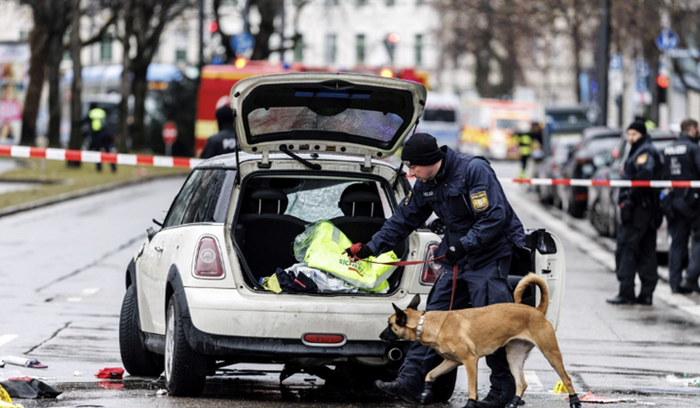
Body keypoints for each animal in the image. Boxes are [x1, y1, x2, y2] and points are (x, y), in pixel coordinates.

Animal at [380, 272, 584, 408]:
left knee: (566, 379)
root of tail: (536, 310)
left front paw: (471, 403)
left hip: (551, 353)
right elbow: (430, 374)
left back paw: (575, 401)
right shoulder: (451, 362)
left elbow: (472, 388)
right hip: (514, 357)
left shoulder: (470, 361)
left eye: (390, 325)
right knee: (522, 383)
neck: (427, 323)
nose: (381, 336)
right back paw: (513, 402)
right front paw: (425, 393)